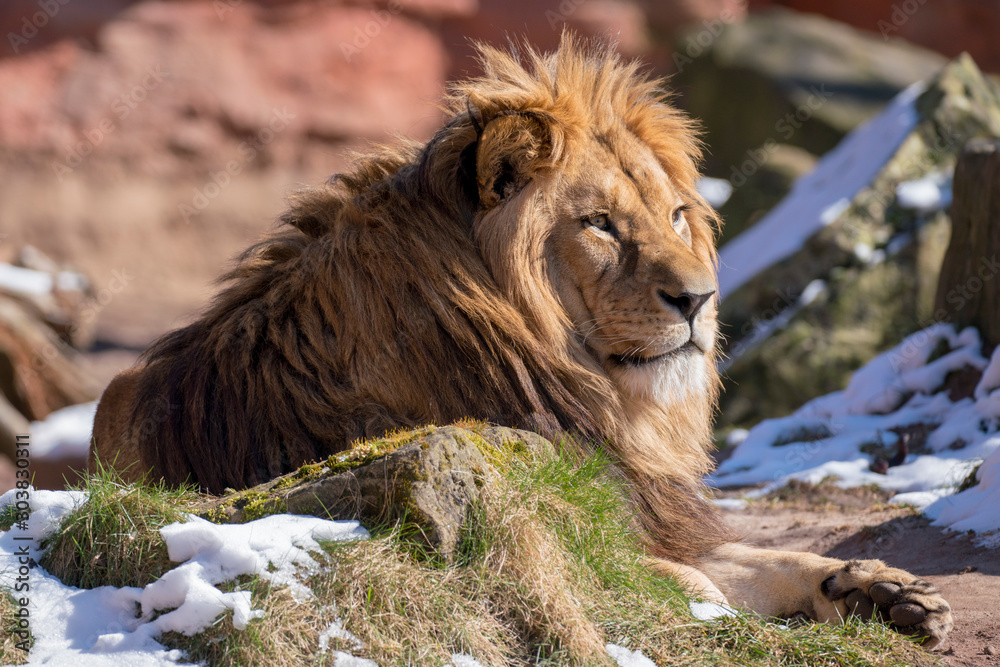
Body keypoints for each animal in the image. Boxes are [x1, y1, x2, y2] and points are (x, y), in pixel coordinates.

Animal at [91, 35, 952, 647]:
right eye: (600, 224)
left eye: (676, 215)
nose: (699, 299)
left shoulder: (648, 506)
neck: (587, 387)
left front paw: (884, 588)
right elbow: (670, 580)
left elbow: (771, 560)